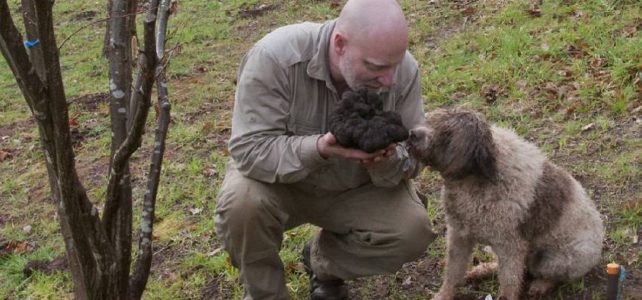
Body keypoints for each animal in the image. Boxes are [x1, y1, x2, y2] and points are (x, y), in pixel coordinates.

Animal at [408, 108, 604, 300]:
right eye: (431, 120)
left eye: (447, 134)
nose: (412, 134)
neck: (479, 178)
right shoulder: (458, 235)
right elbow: (453, 272)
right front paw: (443, 295)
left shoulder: (511, 246)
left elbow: (509, 284)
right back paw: (482, 270)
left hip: (557, 259)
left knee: (549, 274)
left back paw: (541, 285)